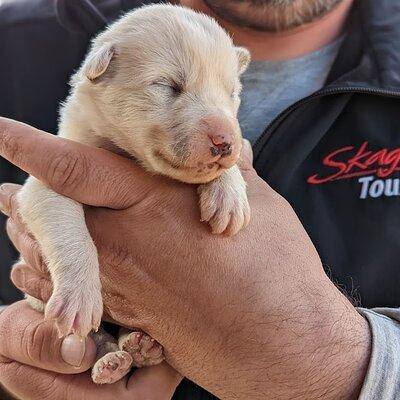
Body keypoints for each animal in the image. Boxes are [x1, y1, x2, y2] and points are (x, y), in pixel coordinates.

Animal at [0, 118, 370, 400]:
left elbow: (230, 163)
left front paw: (227, 196)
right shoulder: (45, 187)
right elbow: (69, 232)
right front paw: (79, 296)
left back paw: (137, 348)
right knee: (96, 335)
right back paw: (110, 362)